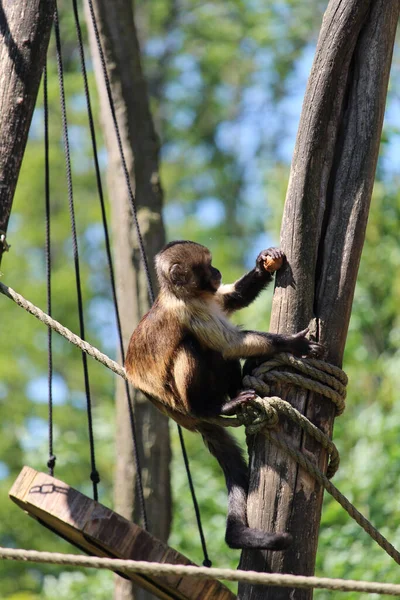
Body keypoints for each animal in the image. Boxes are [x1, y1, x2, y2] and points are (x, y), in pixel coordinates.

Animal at [125, 239, 324, 548]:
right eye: (207, 267)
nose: (216, 271)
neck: (185, 294)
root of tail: (189, 420)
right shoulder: (187, 310)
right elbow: (231, 343)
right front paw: (293, 344)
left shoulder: (207, 299)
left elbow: (231, 300)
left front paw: (265, 262)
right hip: (183, 402)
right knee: (196, 347)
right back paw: (216, 407)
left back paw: (241, 387)